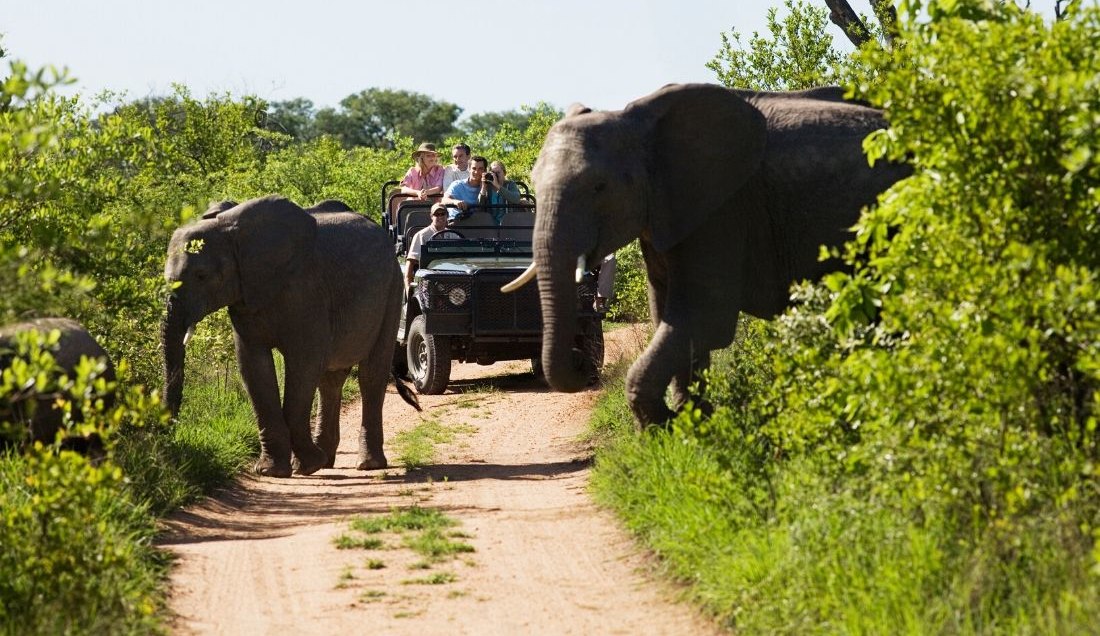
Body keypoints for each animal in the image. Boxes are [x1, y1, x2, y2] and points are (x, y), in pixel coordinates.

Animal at [163, 195, 420, 478]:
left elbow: (303, 363)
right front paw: (272, 471)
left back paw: (367, 464)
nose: (168, 435)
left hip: (393, 290)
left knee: (371, 375)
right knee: (330, 379)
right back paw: (326, 460)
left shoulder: (305, 290)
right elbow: (254, 366)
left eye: (201, 276)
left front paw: (305, 466)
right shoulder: (246, 297)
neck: (232, 230)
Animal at [510, 83, 910, 427]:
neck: (638, 125)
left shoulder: (722, 211)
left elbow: (702, 319)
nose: (583, 365)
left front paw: (666, 427)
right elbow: (667, 316)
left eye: (599, 187)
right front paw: (696, 422)